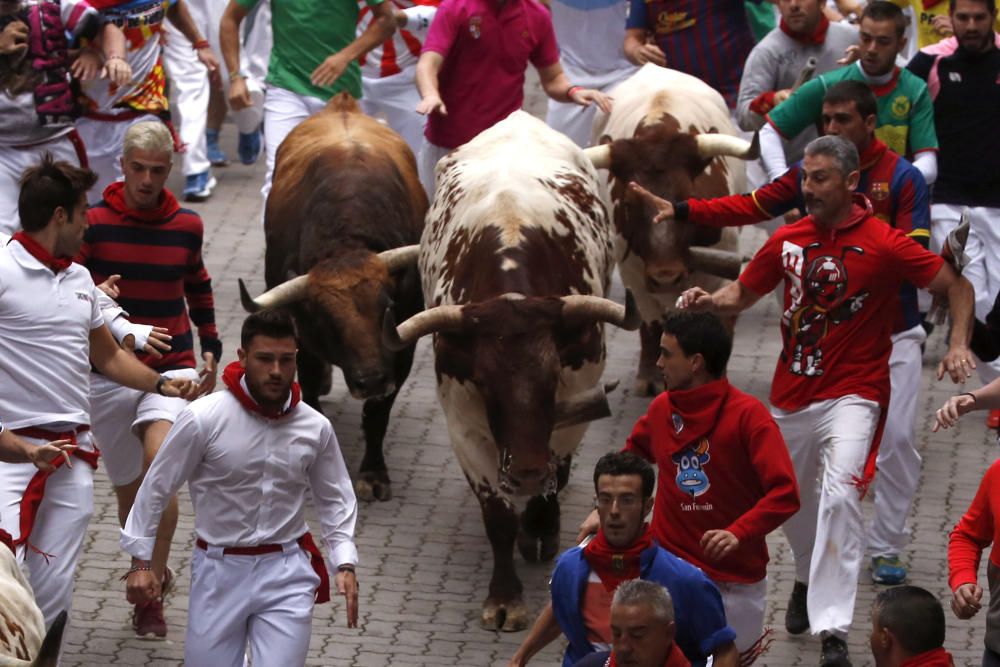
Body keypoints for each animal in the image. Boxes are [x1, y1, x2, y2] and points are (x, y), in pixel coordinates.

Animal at [238, 92, 426, 500]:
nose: (371, 379)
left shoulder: (401, 348)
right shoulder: (299, 337)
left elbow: (378, 414)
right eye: (325, 319)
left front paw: (374, 474)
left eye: (388, 306)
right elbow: (308, 390)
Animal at [382, 111, 640, 632]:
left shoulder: (575, 401)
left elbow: (554, 465)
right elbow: (498, 517)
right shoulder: (463, 423)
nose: (522, 472)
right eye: (484, 382)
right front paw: (504, 597)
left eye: (552, 375)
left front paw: (539, 527)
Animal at [588, 63, 760, 394]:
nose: (666, 275)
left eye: (687, 197)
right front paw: (652, 377)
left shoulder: (721, 272)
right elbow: (651, 323)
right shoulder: (635, 276)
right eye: (627, 204)